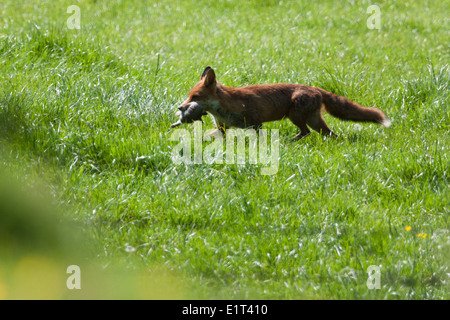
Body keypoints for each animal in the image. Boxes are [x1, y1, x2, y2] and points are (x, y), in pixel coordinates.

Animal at [177, 66, 390, 139]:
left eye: (195, 97)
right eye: (189, 96)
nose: (180, 107)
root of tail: (315, 88)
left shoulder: (256, 124)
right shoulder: (223, 128)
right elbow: (208, 137)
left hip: (296, 117)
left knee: (306, 133)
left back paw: (290, 142)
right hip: (313, 121)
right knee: (330, 134)